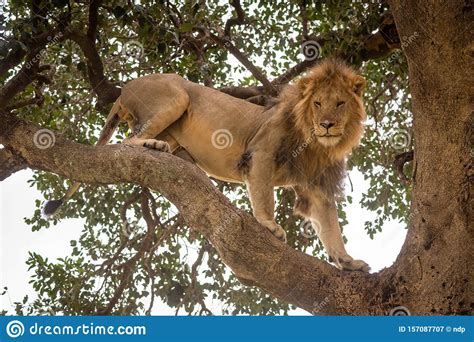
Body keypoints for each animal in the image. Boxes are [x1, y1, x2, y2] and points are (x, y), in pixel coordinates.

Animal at [43, 59, 370, 272]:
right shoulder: (261, 153)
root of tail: (125, 89)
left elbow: (330, 227)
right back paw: (153, 146)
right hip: (176, 96)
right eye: (317, 103)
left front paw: (347, 262)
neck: (315, 142)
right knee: (126, 141)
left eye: (340, 103)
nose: (326, 125)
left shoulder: (316, 187)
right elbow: (265, 197)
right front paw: (269, 225)